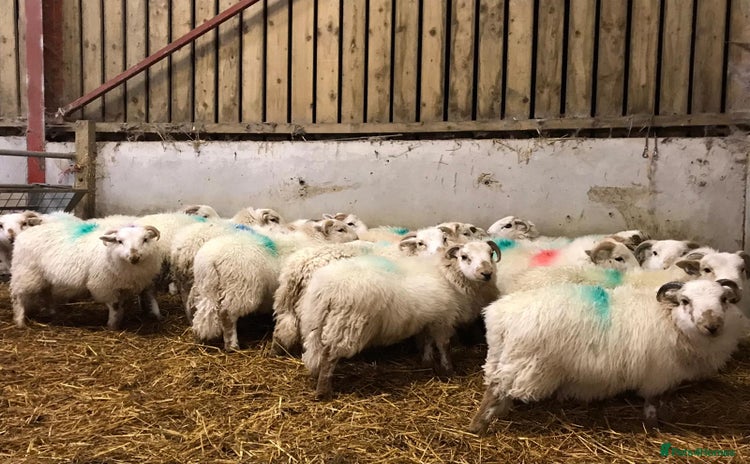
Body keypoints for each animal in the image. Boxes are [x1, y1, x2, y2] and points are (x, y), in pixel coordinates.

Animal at [10, 221, 162, 329]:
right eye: (119, 241)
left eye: (145, 239)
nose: (134, 257)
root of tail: (22, 236)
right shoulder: (104, 286)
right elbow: (114, 306)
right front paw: (112, 326)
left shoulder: (123, 287)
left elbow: (122, 305)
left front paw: (119, 321)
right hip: (26, 272)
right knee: (18, 296)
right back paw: (20, 321)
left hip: (43, 276)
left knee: (45, 293)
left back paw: (52, 313)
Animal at [190, 223, 359, 350]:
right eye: (340, 229)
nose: (357, 238)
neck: (317, 240)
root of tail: (210, 259)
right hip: (240, 288)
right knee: (227, 315)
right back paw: (232, 345)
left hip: (208, 287)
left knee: (205, 312)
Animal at [271, 227, 451, 354]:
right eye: (421, 243)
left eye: (444, 239)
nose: (441, 252)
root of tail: (299, 268)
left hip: (285, 304)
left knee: (284, 328)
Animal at [298, 240, 501, 399]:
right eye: (464, 257)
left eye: (490, 254)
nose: (487, 273)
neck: (448, 277)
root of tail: (326, 289)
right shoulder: (443, 319)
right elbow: (444, 345)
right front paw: (448, 369)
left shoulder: (430, 318)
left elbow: (427, 341)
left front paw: (427, 361)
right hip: (347, 325)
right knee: (329, 356)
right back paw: (324, 391)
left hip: (317, 323)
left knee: (316, 352)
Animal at [469, 279, 746, 435]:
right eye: (686, 300)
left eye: (724, 299)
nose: (712, 326)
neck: (669, 318)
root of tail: (499, 315)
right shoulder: (657, 374)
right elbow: (652, 402)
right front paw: (653, 426)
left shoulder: (670, 374)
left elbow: (667, 397)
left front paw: (667, 415)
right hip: (526, 364)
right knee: (496, 388)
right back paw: (478, 426)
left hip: (500, 357)